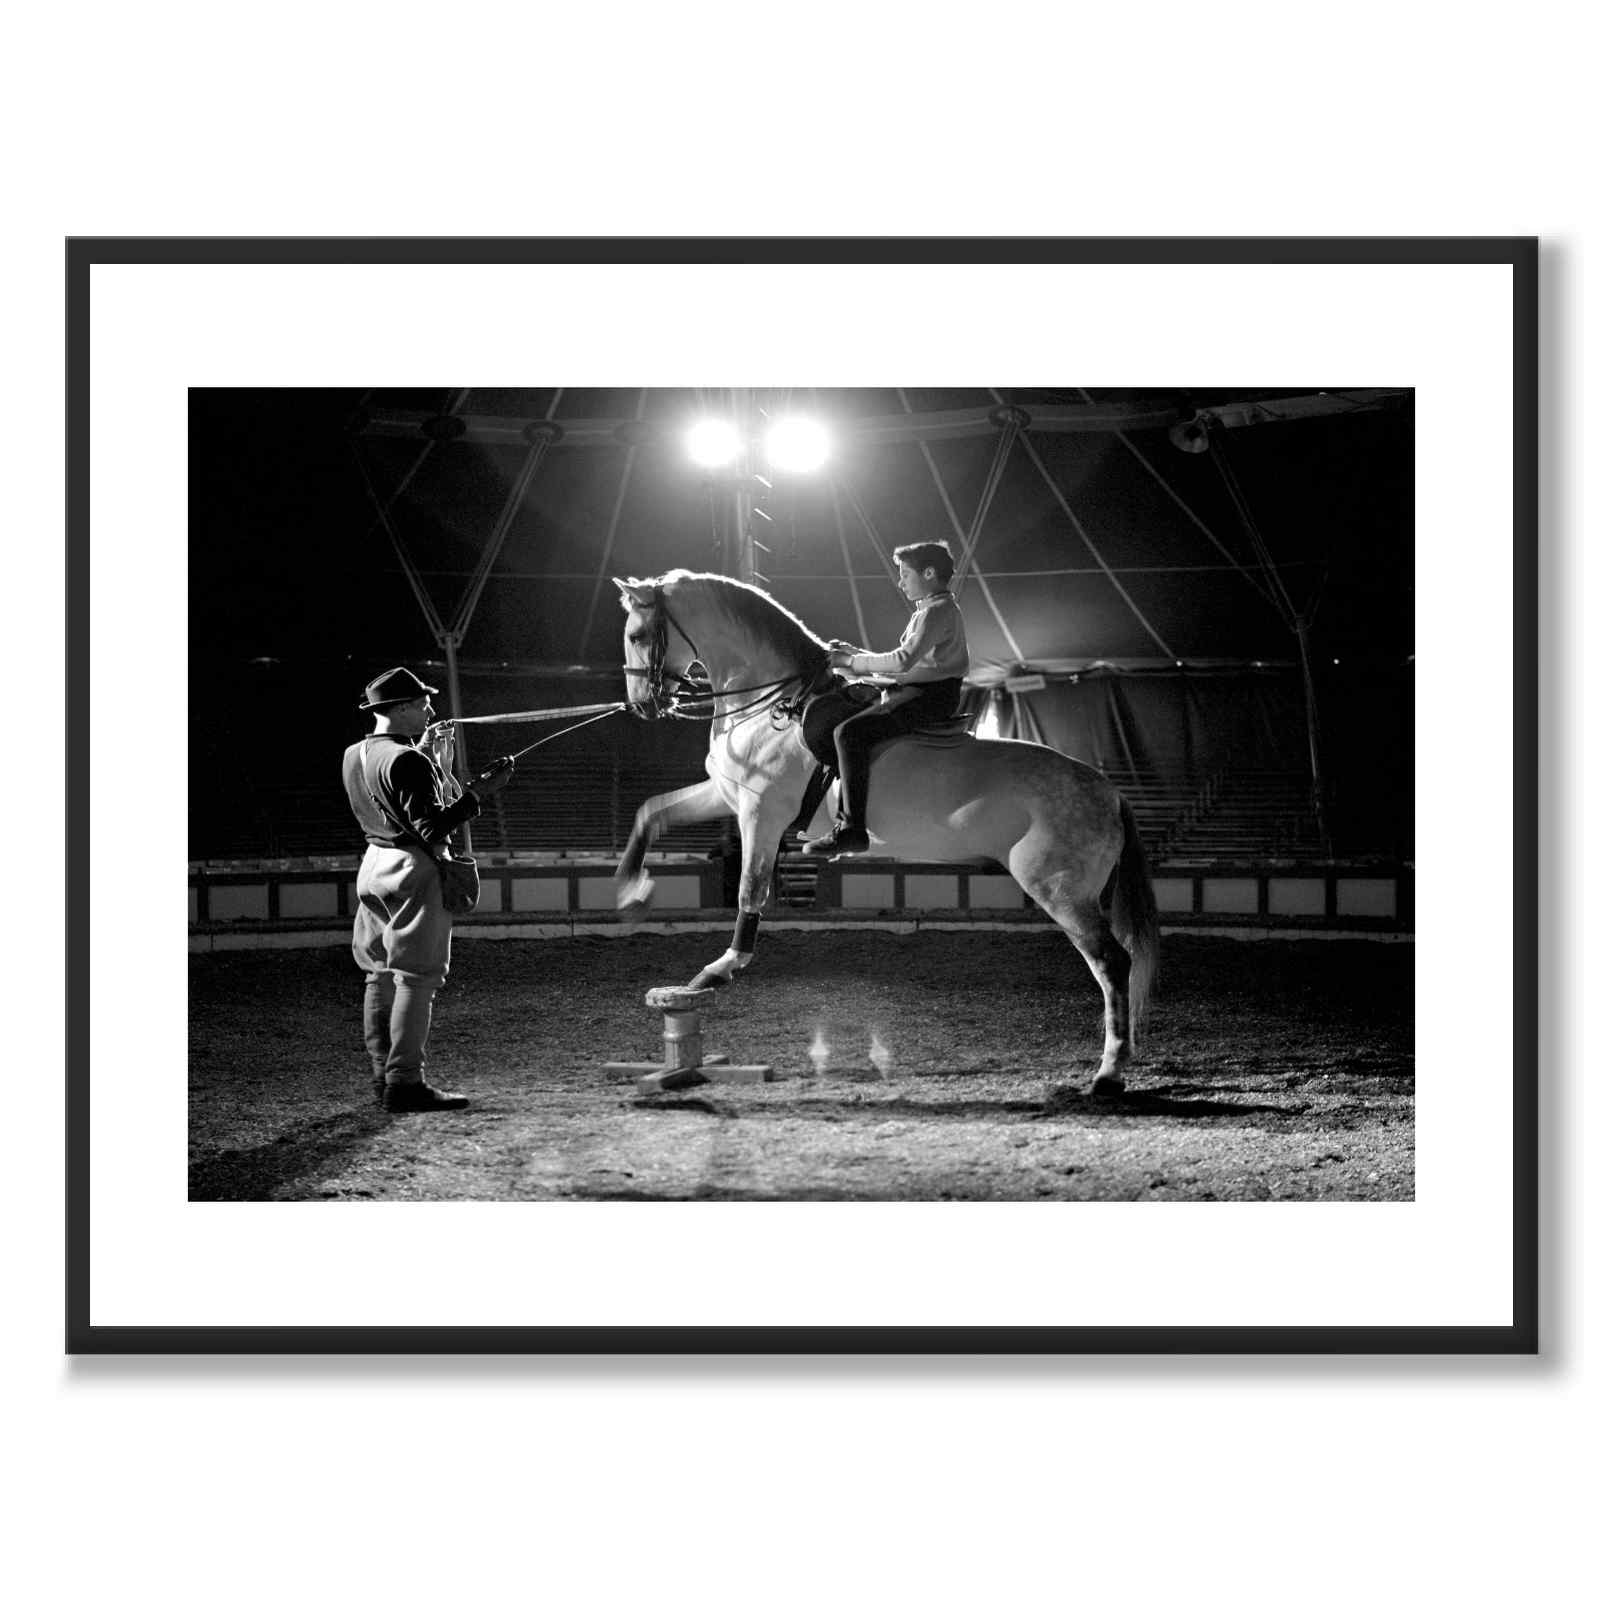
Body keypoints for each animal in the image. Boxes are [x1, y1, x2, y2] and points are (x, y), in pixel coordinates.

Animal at [612, 569, 1159, 1096]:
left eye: (638, 636)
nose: (641, 706)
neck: (774, 707)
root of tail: (1107, 791)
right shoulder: (728, 795)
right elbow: (650, 812)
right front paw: (632, 891)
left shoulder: (759, 813)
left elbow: (751, 891)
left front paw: (719, 969)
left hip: (1059, 889)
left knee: (1112, 964)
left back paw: (1109, 1074)